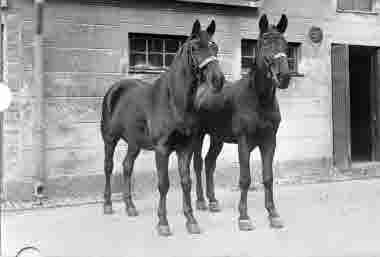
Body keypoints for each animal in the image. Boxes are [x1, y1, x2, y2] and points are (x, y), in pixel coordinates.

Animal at [101, 19, 226, 236]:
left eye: (214, 47)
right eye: (194, 48)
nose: (218, 80)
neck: (174, 102)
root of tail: (114, 90)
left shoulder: (185, 148)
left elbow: (186, 182)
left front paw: (191, 221)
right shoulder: (162, 150)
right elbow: (163, 184)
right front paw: (163, 223)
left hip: (134, 143)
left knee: (127, 166)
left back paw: (130, 207)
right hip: (110, 139)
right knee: (109, 167)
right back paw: (108, 205)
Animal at [191, 14, 292, 229]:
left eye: (285, 44)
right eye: (264, 43)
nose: (284, 77)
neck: (259, 99)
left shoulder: (269, 141)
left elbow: (268, 177)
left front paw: (273, 214)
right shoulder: (244, 141)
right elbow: (245, 178)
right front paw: (244, 217)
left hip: (217, 139)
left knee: (209, 163)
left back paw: (213, 201)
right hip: (198, 136)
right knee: (197, 164)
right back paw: (201, 201)